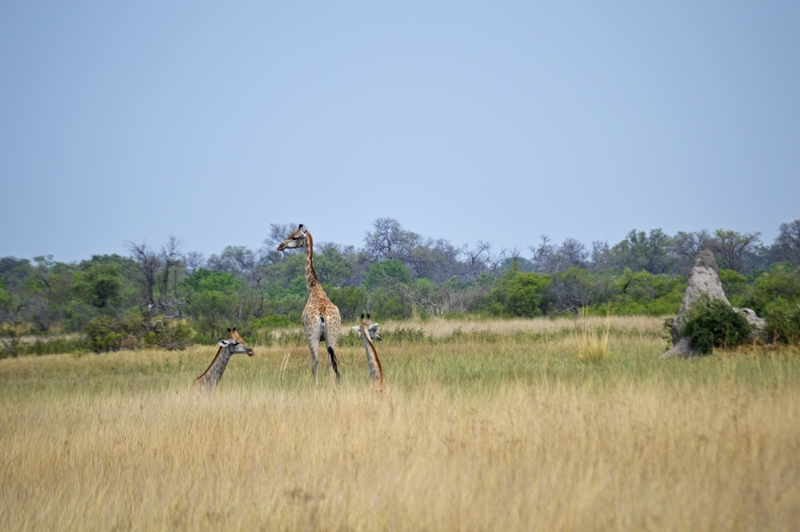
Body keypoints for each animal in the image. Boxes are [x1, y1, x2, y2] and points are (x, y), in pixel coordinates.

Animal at [277, 224, 342, 387]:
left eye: (294, 237)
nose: (280, 246)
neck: (314, 288)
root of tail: (323, 313)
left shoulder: (308, 335)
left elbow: (314, 362)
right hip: (333, 336)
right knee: (330, 362)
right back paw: (333, 388)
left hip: (312, 336)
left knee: (316, 362)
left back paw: (316, 387)